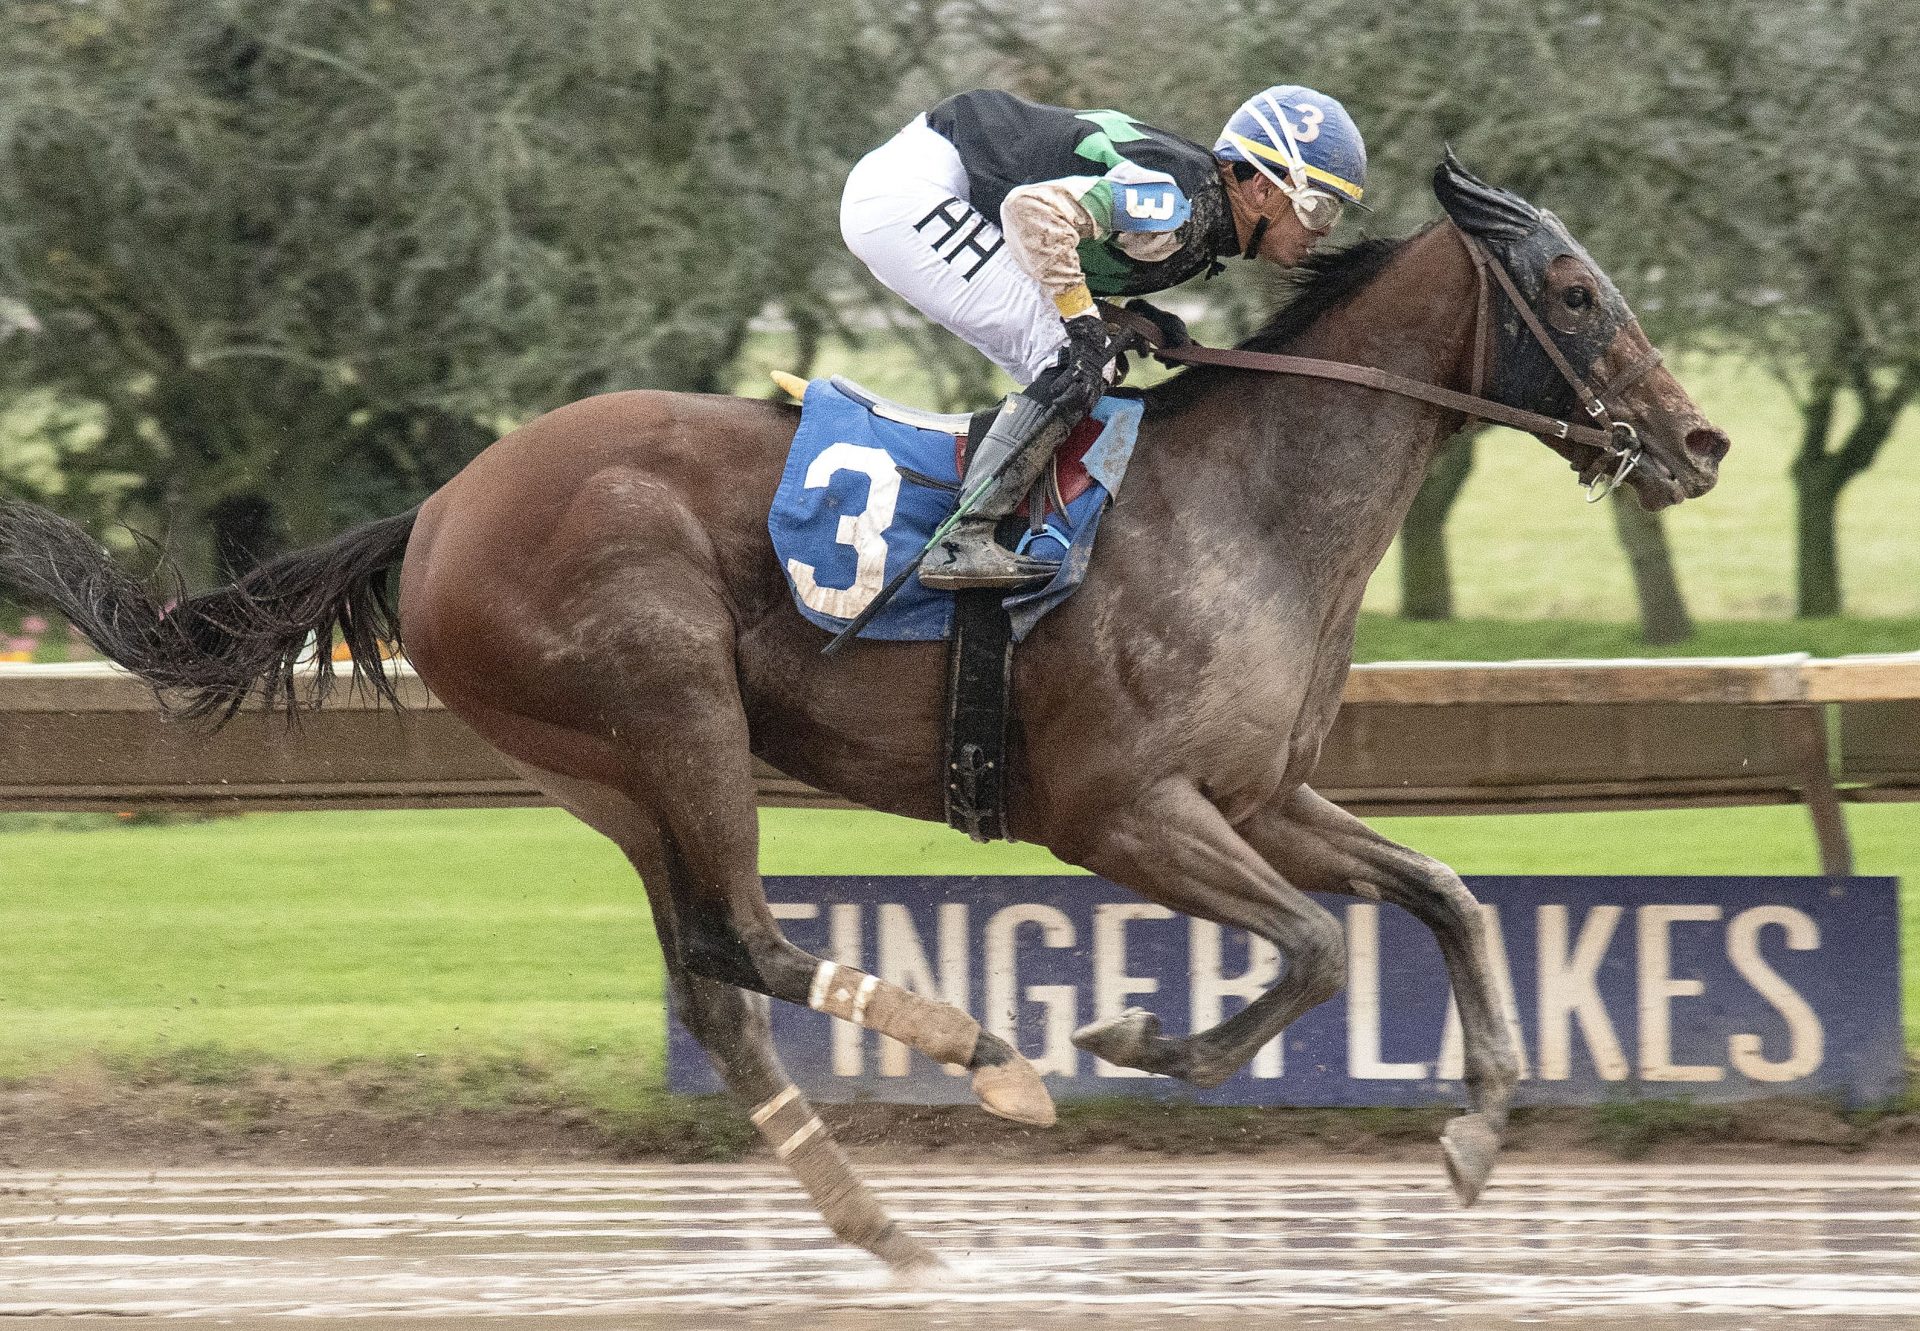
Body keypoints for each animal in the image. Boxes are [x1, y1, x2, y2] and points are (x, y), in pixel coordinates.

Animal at [0, 158, 1728, 1275]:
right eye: (1576, 288)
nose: (1700, 440)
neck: (1246, 509)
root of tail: (436, 507)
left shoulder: (1260, 797)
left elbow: (1441, 892)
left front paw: (1482, 1126)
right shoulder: (1123, 810)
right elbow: (1311, 947)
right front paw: (1132, 1032)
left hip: (604, 770)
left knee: (712, 979)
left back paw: (874, 1220)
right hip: (673, 706)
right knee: (752, 940)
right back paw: (985, 1057)